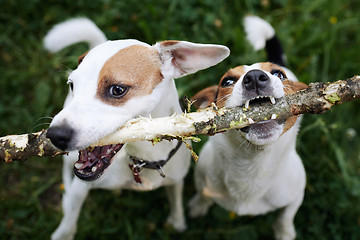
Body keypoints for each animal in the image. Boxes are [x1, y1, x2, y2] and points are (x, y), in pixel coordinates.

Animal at [44, 17, 231, 239]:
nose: (55, 135)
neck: (142, 159)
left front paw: (177, 222)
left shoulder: (176, 180)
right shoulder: (79, 190)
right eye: (72, 85)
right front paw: (64, 232)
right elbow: (70, 218)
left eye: (117, 89)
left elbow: (176, 201)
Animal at [188, 15, 306, 239]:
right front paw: (198, 205)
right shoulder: (202, 177)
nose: (255, 77)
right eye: (227, 81)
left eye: (279, 74)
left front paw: (284, 232)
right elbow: (202, 194)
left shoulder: (296, 193)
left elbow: (286, 216)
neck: (253, 164)